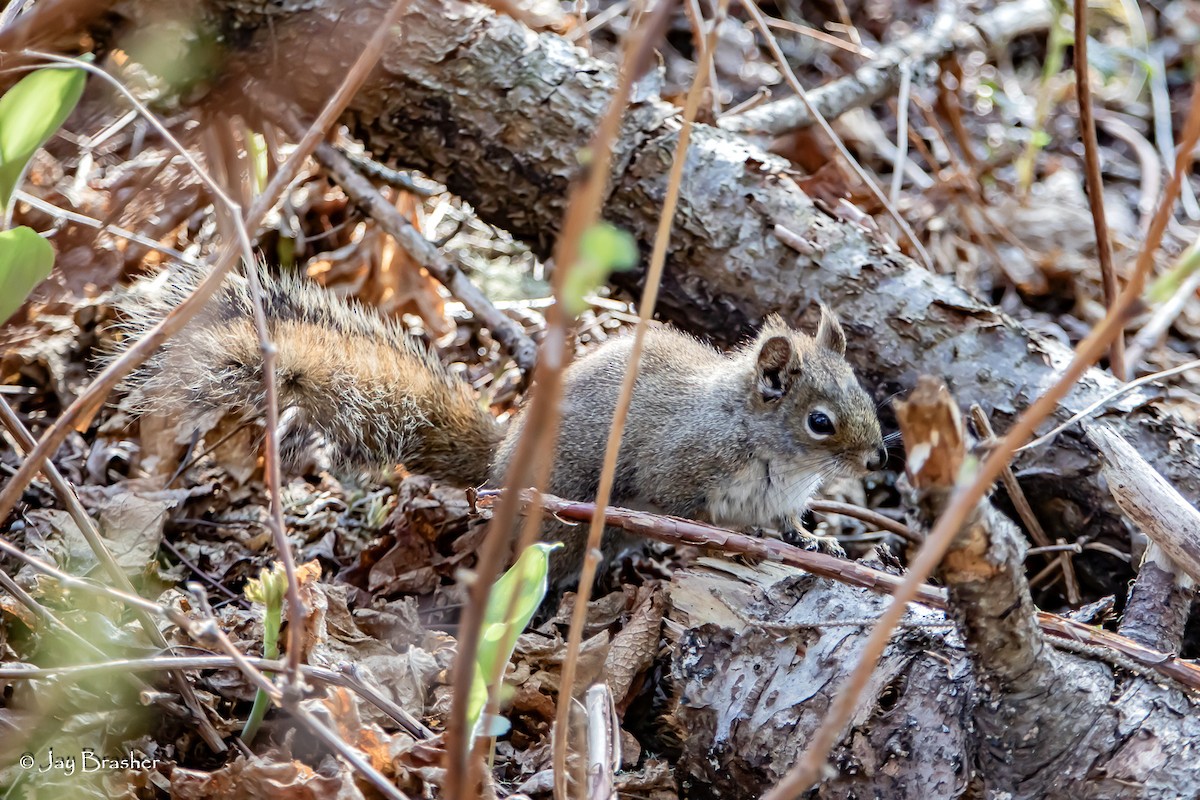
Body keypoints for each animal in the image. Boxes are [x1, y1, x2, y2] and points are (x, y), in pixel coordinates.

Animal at [114, 267, 886, 590]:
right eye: (820, 422)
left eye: (864, 394)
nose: (876, 457)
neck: (769, 452)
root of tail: (499, 466)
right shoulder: (681, 463)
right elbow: (684, 507)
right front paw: (735, 540)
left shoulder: (785, 499)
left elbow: (792, 527)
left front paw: (822, 544)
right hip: (561, 524)